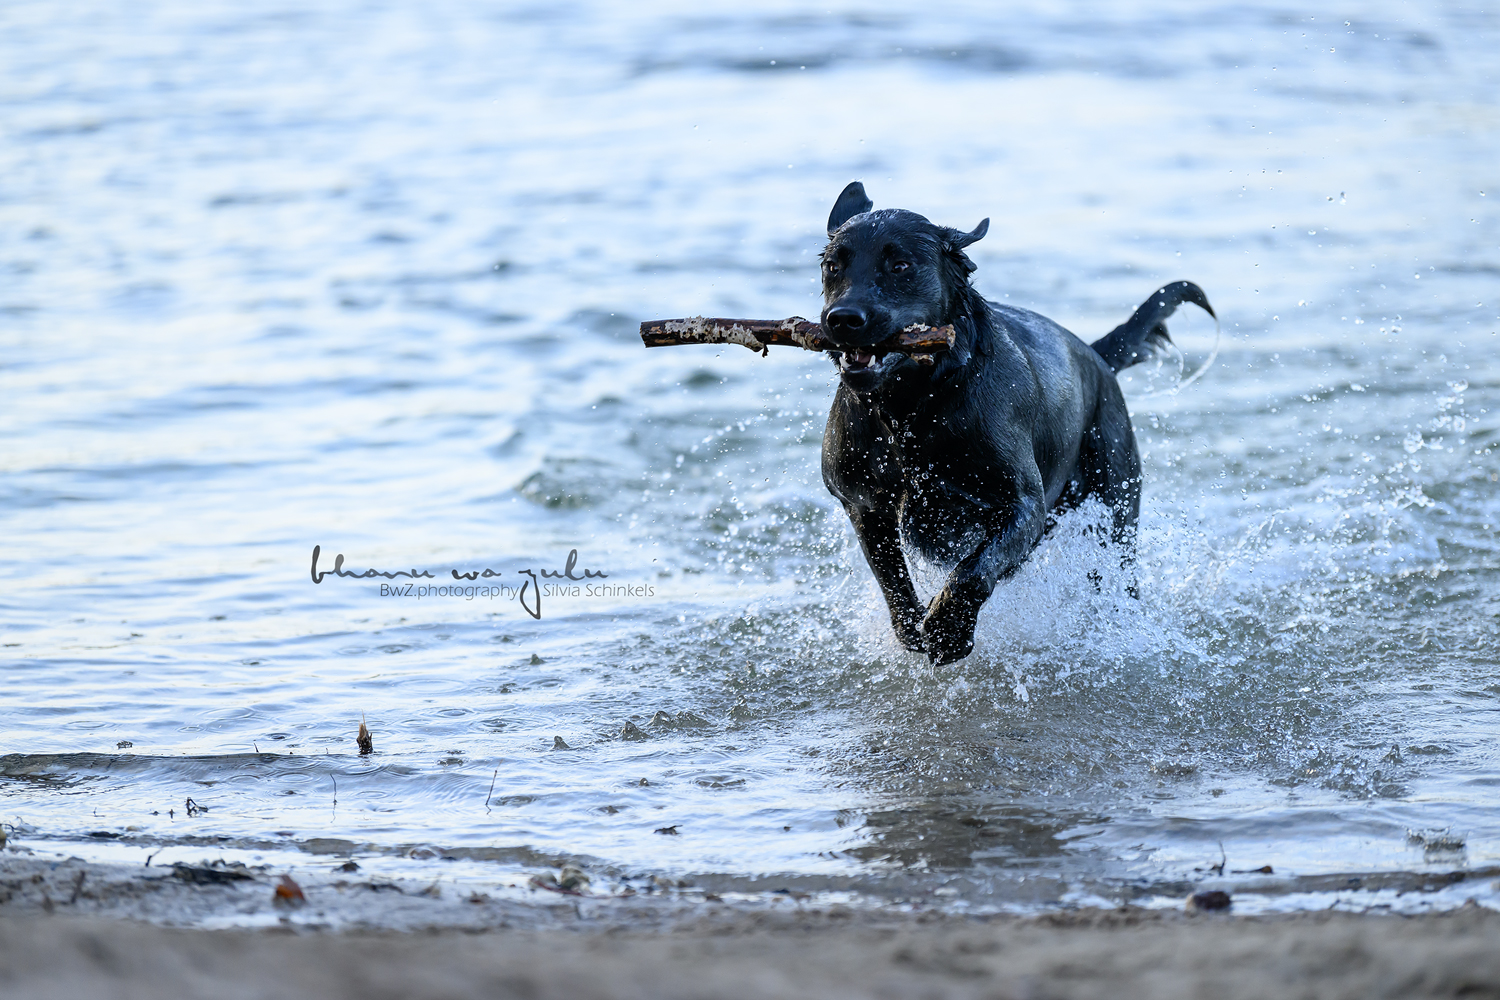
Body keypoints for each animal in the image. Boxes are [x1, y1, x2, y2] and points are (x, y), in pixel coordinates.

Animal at [816, 182, 1212, 665]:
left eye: (900, 265)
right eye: (832, 266)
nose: (842, 319)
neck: (913, 408)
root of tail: (1096, 356)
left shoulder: (1022, 505)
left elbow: (972, 570)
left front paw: (948, 630)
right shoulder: (864, 505)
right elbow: (892, 579)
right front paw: (915, 627)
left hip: (1115, 504)